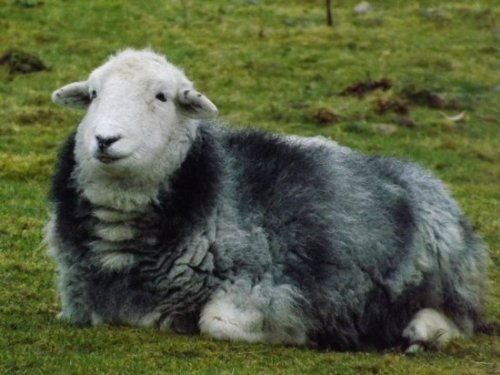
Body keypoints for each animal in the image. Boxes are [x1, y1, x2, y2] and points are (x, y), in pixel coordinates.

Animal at [46, 49, 488, 352]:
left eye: (162, 97)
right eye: (93, 93)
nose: (105, 140)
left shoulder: (264, 283)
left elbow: (216, 322)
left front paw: (304, 332)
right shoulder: (82, 306)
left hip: (444, 273)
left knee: (462, 319)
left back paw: (422, 331)